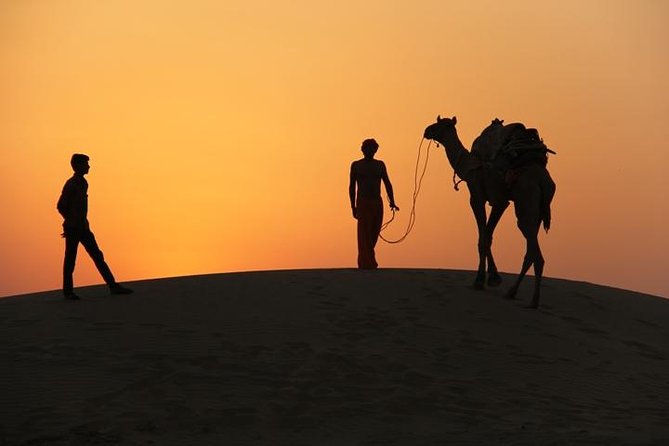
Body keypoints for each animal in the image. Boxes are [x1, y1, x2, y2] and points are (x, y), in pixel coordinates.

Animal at [422, 116, 560, 308]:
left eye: (440, 124)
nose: (426, 130)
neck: (469, 165)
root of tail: (543, 181)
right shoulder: (501, 202)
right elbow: (488, 235)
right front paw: (492, 277)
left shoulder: (477, 196)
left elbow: (482, 237)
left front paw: (482, 280)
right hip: (538, 211)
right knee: (530, 251)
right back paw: (512, 292)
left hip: (525, 200)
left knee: (534, 251)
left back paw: (533, 301)